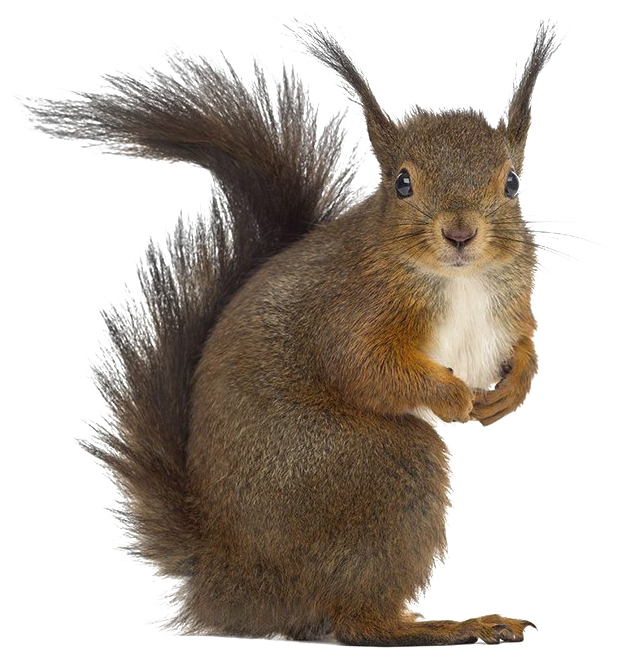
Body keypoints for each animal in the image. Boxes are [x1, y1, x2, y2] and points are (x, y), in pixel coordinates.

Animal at [4, 3, 579, 647]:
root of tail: (231, 579)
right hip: (380, 468)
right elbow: (363, 369)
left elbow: (524, 344)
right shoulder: (350, 309)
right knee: (356, 619)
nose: (460, 233)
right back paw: (449, 626)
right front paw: (453, 397)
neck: (457, 280)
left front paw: (511, 391)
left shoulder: (510, 303)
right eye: (402, 183)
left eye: (511, 182)